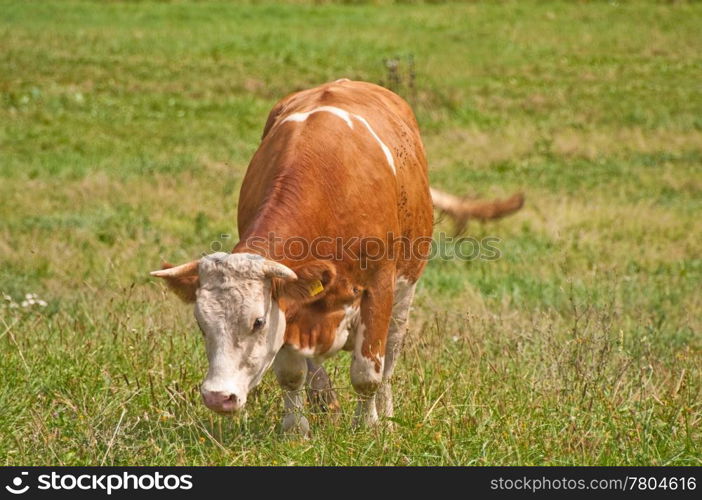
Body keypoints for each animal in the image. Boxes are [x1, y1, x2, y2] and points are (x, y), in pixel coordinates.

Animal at [150, 79, 524, 434]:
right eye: (201, 324)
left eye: (257, 322)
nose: (217, 397)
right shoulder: (288, 299)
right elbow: (291, 373)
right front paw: (296, 429)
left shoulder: (379, 288)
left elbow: (368, 372)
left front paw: (369, 427)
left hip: (405, 290)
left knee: (390, 358)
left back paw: (386, 415)